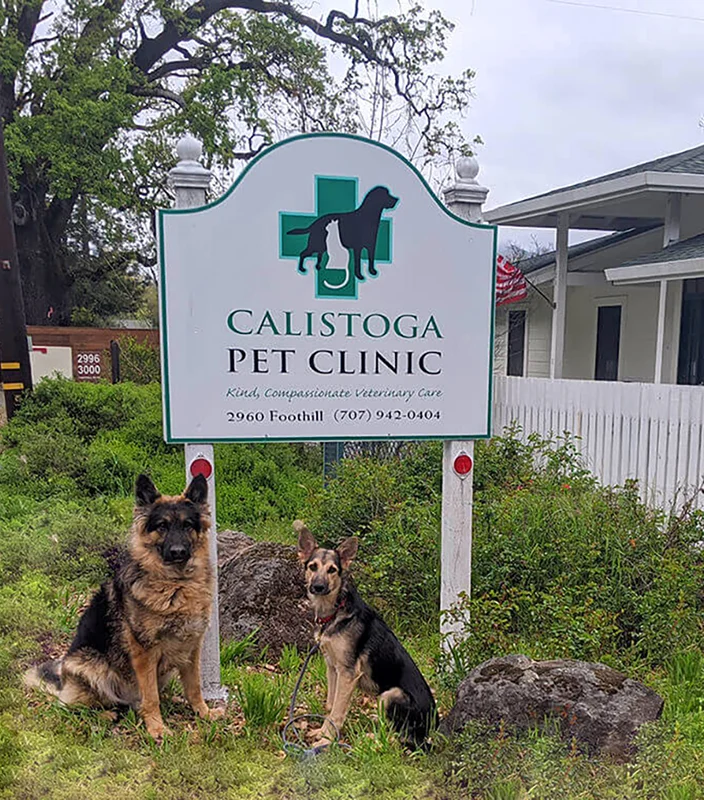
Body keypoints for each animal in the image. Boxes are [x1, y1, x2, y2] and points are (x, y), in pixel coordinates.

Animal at [24, 472, 224, 740]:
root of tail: (62, 683)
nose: (178, 552)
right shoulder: (145, 653)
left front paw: (203, 713)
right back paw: (106, 714)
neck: (176, 584)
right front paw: (157, 728)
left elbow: (194, 687)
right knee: (71, 706)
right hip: (91, 665)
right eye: (162, 526)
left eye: (187, 525)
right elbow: (150, 696)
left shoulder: (191, 647)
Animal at [294, 520, 438, 748]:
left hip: (390, 694)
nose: (318, 587)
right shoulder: (332, 668)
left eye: (332, 570)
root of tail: (433, 729)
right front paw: (321, 732)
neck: (334, 612)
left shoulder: (348, 674)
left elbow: (337, 712)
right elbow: (330, 706)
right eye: (312, 566)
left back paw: (371, 739)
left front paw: (326, 740)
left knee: (396, 737)